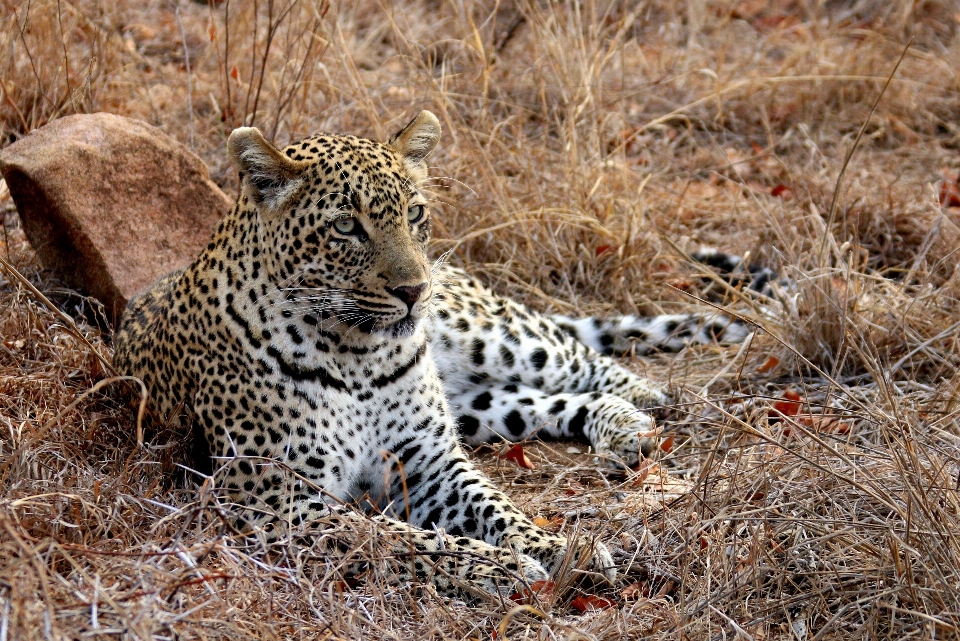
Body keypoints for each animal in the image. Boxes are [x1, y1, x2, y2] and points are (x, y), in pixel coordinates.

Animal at [112, 111, 752, 600]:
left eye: (414, 213)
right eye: (346, 226)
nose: (415, 289)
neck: (355, 355)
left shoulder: (427, 460)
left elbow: (496, 507)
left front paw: (558, 545)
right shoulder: (277, 499)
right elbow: (393, 539)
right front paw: (502, 567)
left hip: (490, 337)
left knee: (580, 359)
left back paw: (645, 408)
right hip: (477, 404)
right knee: (542, 402)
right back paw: (625, 425)